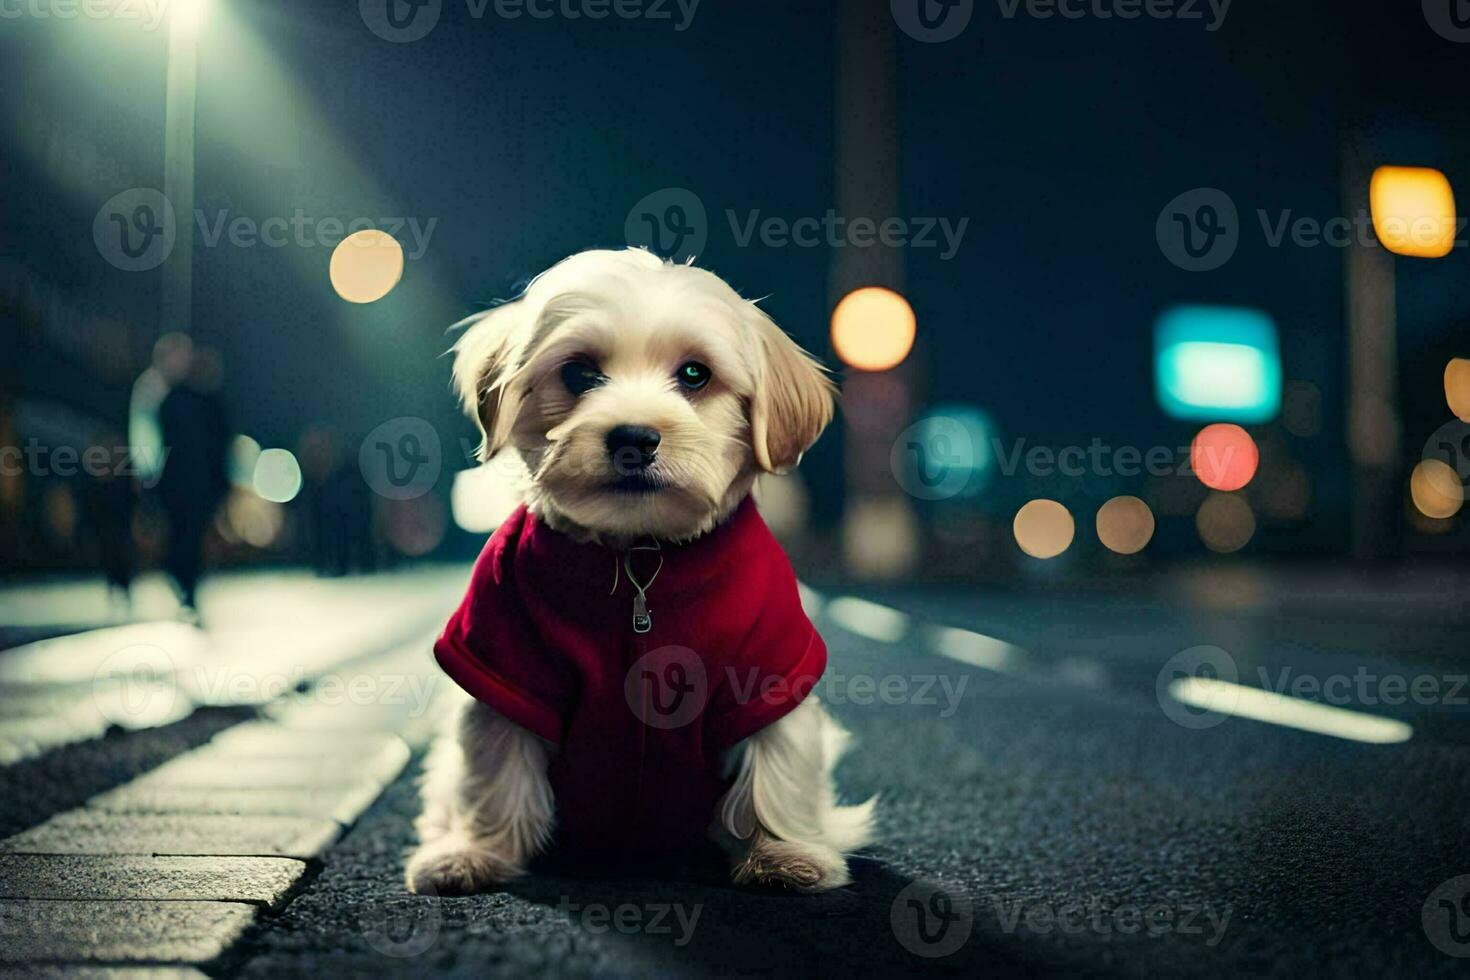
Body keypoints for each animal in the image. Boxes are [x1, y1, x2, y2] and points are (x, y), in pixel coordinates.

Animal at [402, 246, 870, 899]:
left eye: (695, 375)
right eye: (579, 373)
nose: (634, 437)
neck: (640, 557)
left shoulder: (769, 671)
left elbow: (775, 768)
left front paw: (783, 853)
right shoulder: (504, 662)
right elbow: (496, 768)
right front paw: (477, 851)